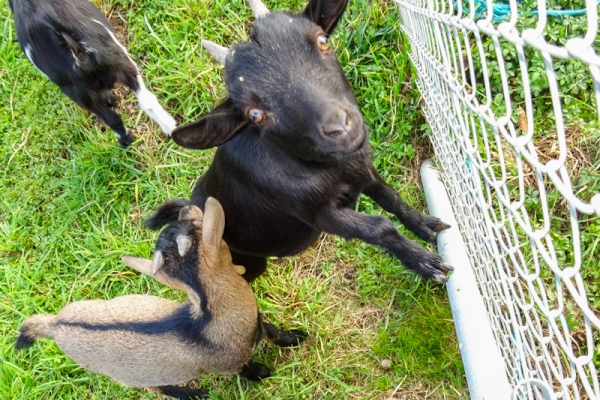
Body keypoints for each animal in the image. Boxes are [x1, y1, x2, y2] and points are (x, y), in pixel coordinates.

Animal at [145, 0, 452, 282]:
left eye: (322, 41)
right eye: (255, 114)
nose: (340, 126)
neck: (329, 167)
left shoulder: (363, 172)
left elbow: (391, 198)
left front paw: (428, 226)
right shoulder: (319, 213)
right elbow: (380, 227)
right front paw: (427, 263)